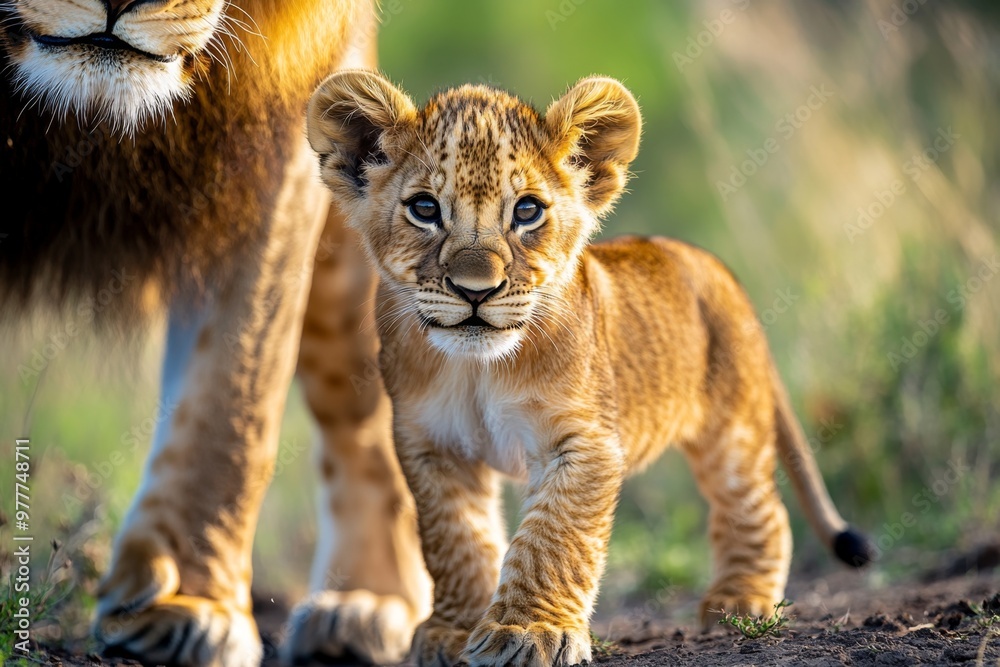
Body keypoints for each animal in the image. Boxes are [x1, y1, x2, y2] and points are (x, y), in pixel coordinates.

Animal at [305, 71, 875, 667]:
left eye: (527, 211)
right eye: (424, 208)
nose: (476, 291)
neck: (477, 368)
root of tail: (711, 262)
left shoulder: (584, 440)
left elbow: (553, 538)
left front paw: (527, 632)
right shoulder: (430, 444)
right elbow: (455, 541)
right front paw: (452, 632)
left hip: (733, 431)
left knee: (759, 508)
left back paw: (740, 600)